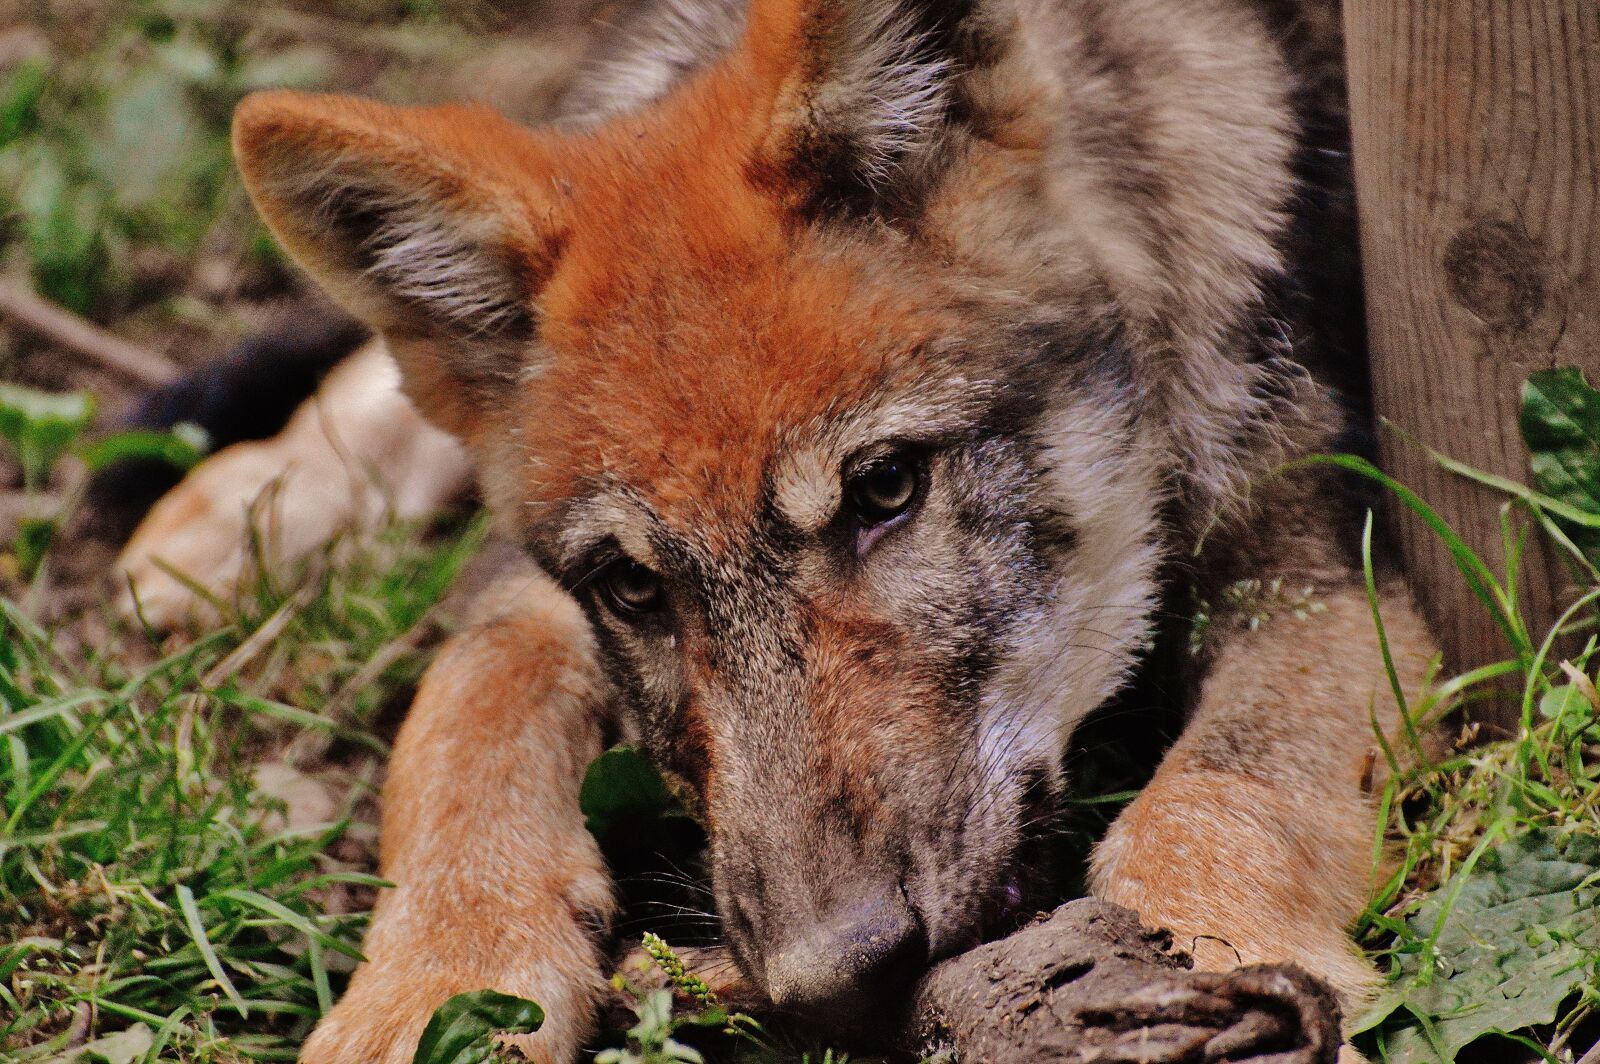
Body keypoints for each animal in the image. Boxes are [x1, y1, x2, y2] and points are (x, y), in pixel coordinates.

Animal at [116, 0, 1438, 1059]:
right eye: (633, 587)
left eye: (886, 487)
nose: (830, 981)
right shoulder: (529, 597)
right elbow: (455, 738)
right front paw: (434, 978)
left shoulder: (1322, 574)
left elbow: (1221, 793)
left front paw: (1212, 955)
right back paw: (239, 507)